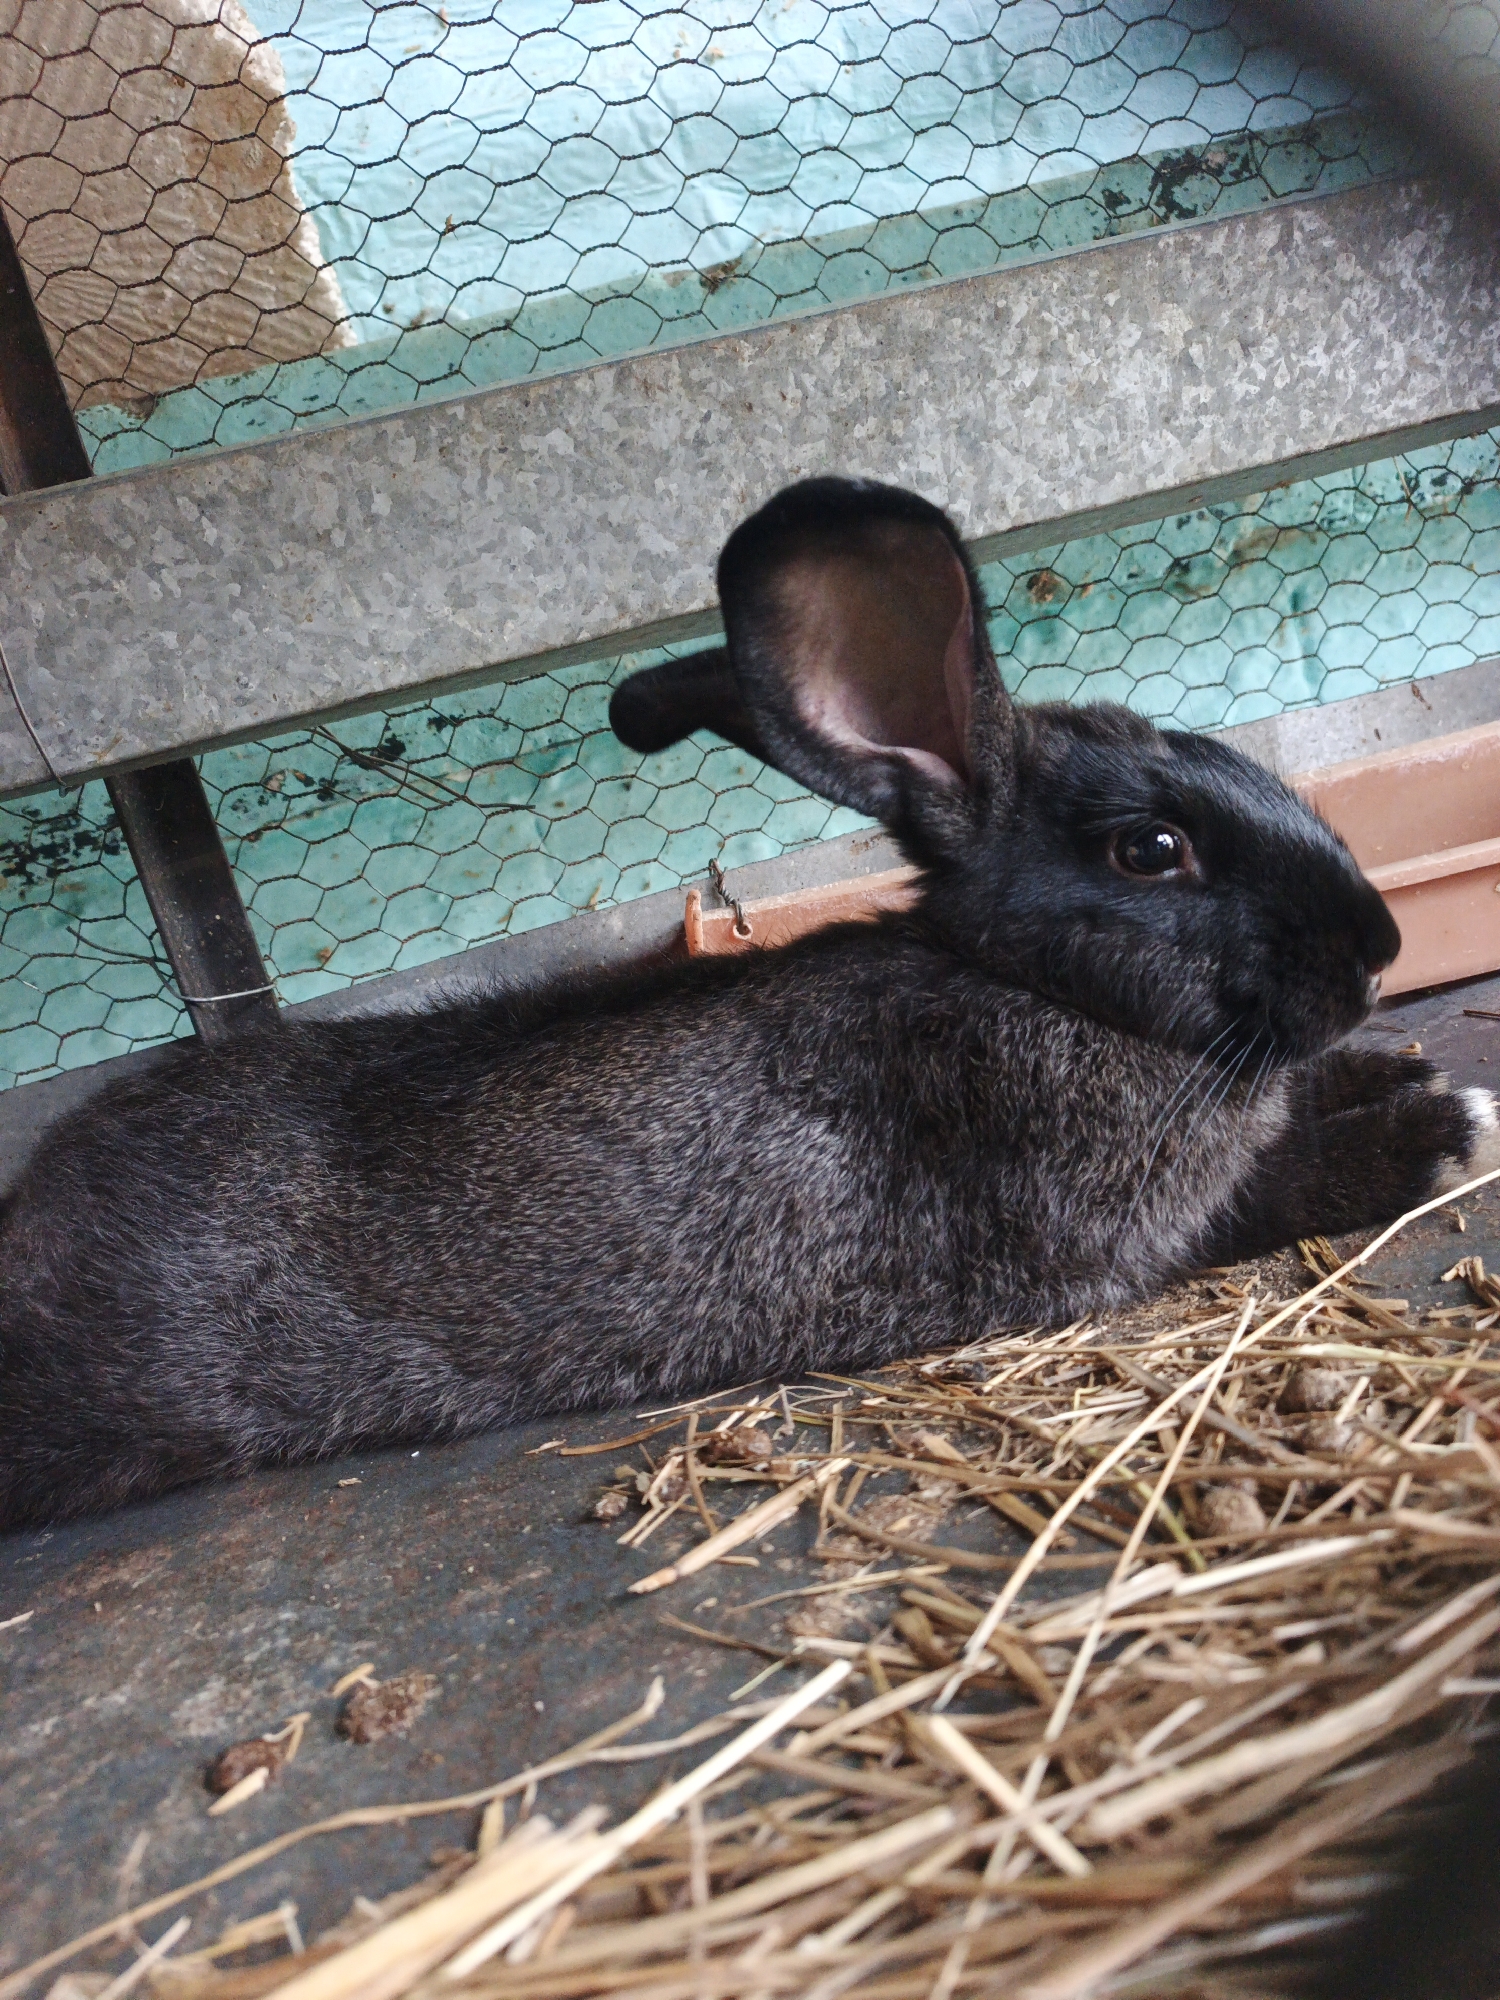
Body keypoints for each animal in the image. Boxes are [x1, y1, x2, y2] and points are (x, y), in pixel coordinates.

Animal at [1, 474, 1496, 1531]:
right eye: (1151, 850)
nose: (1377, 947)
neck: (1015, 981)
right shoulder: (1102, 1228)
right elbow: (1266, 1191)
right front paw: (1436, 1127)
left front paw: (1415, 1078)